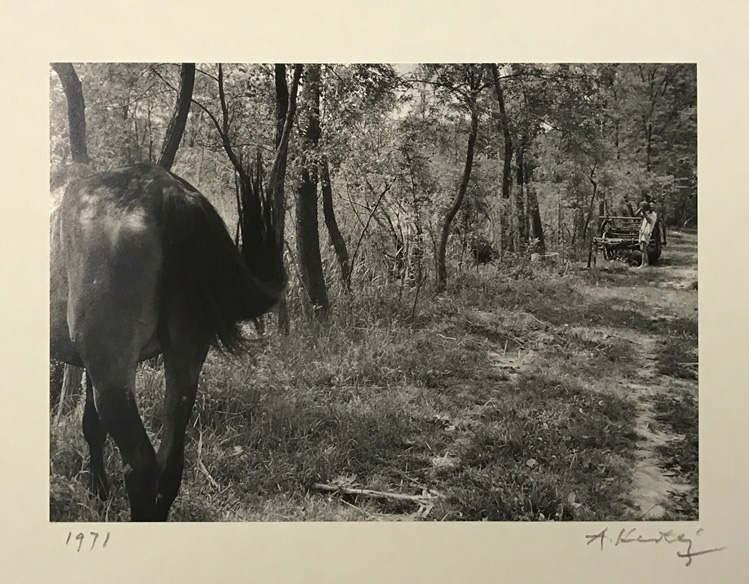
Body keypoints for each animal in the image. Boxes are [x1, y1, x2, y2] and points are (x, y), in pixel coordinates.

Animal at [49, 163, 284, 520]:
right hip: (182, 364)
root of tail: (167, 194)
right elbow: (92, 426)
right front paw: (99, 493)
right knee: (170, 464)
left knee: (142, 467)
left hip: (114, 378)